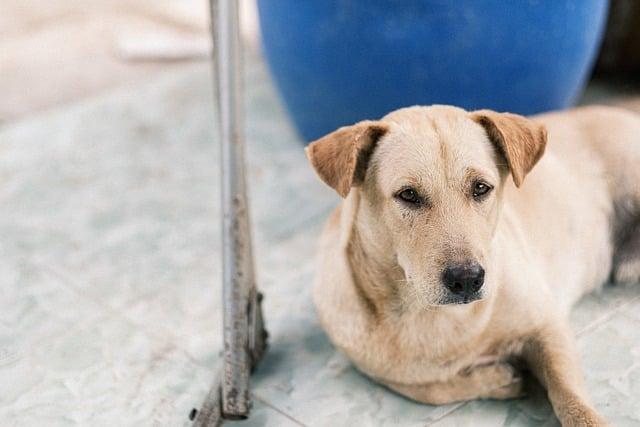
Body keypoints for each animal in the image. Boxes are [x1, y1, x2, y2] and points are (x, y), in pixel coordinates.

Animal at [306, 104, 640, 427]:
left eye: (481, 188)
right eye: (408, 195)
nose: (467, 279)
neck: (432, 317)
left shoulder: (548, 325)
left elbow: (568, 393)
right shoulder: (380, 370)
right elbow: (431, 389)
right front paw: (497, 378)